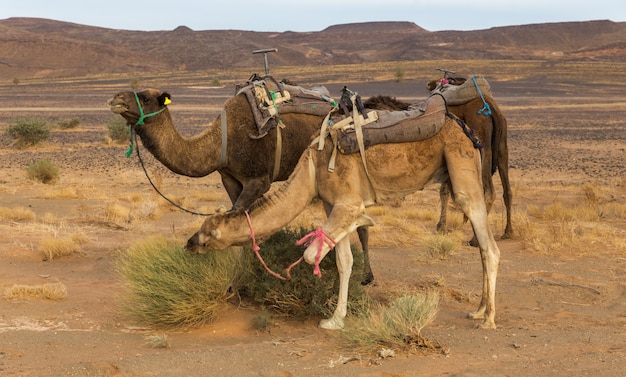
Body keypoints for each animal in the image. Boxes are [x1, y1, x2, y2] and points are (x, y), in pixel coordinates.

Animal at [183, 108, 500, 328]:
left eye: (207, 236)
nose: (188, 244)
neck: (311, 170)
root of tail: (467, 130)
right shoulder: (331, 204)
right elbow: (343, 261)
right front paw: (335, 319)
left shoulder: (346, 203)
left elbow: (311, 254)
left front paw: (364, 221)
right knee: (483, 246)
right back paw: (478, 310)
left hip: (461, 166)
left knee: (489, 246)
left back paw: (488, 319)